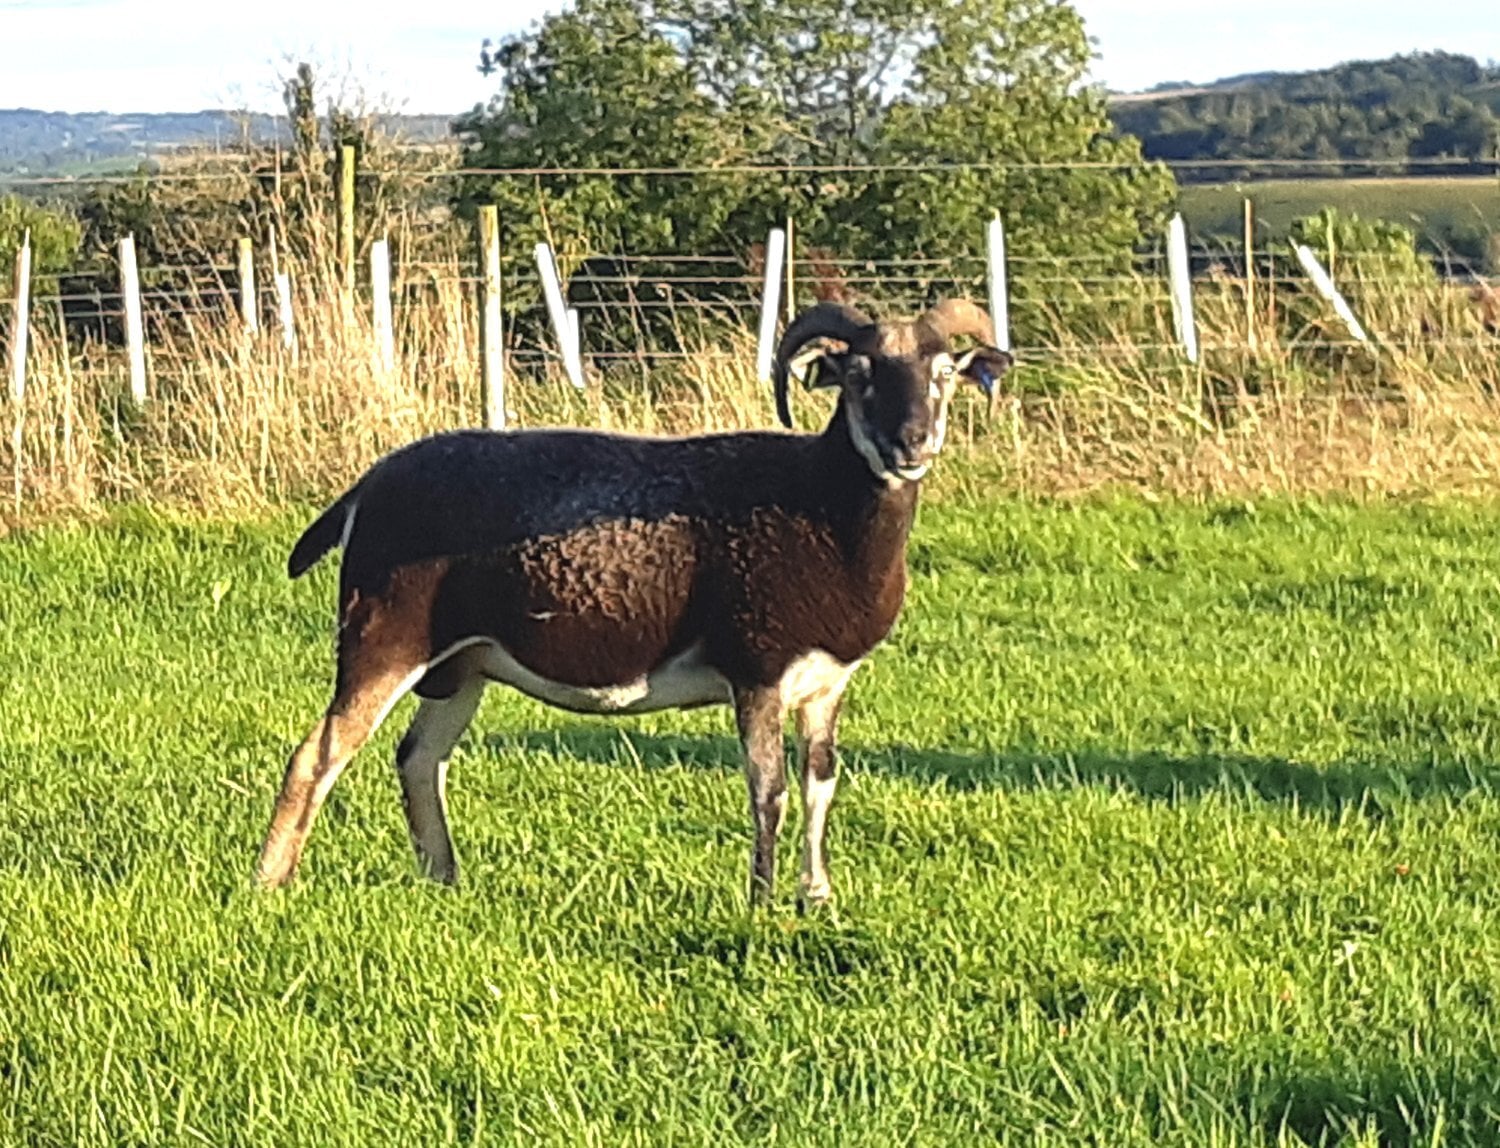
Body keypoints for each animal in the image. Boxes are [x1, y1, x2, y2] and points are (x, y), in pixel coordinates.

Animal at [253, 297, 1013, 907]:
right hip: (383, 637)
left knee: (417, 758)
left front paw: (817, 897)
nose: (912, 443)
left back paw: (445, 880)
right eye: (859, 377)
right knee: (317, 756)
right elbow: (766, 789)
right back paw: (270, 881)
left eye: (943, 375)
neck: (819, 508)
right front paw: (762, 901)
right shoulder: (756, 670)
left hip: (461, 665)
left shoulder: (826, 684)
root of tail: (365, 489)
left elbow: (819, 783)